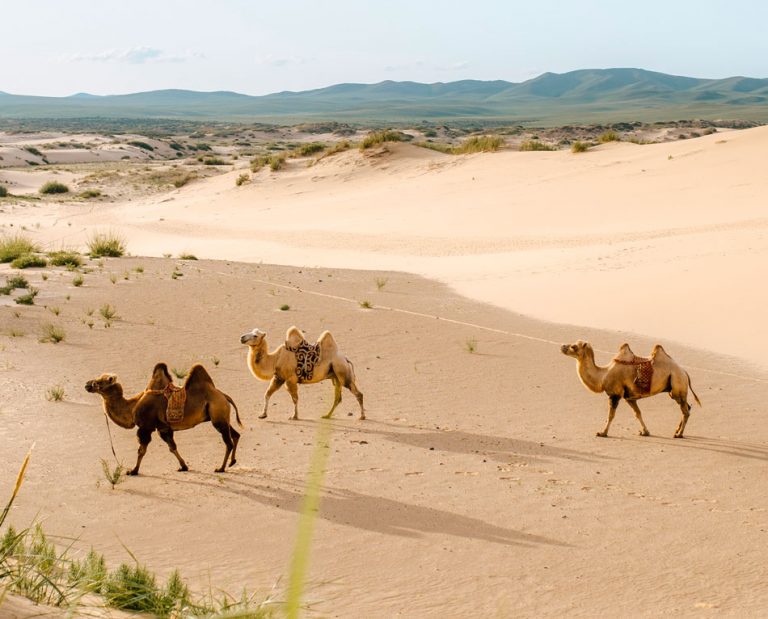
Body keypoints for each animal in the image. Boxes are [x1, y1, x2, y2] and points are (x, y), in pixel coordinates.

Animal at [83, 364, 240, 474]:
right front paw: (183, 466)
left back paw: (221, 468)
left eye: (99, 382)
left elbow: (141, 450)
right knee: (236, 434)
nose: (87, 384)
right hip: (220, 416)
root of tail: (224, 396)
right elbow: (172, 447)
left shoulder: (146, 428)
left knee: (228, 442)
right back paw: (232, 462)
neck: (132, 407)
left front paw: (133, 471)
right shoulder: (163, 428)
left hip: (218, 415)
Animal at [560, 342, 700, 438]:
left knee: (685, 411)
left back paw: (679, 434)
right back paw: (677, 430)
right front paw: (645, 432)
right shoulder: (629, 397)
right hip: (675, 390)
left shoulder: (615, 394)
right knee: (687, 407)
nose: (562, 346)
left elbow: (611, 415)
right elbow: (637, 413)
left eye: (574, 346)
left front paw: (602, 433)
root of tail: (685, 372)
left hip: (677, 384)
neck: (603, 376)